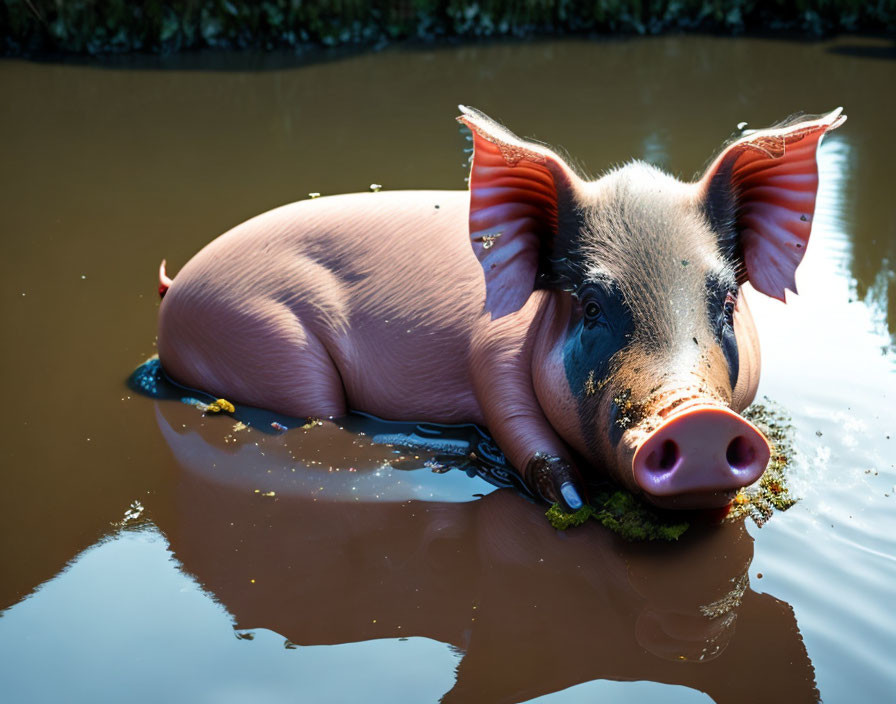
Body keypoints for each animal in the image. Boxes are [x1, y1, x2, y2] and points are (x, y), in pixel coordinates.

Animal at [156, 106, 848, 512]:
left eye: (727, 299)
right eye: (590, 305)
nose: (698, 417)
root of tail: (176, 282)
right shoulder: (489, 352)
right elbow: (522, 432)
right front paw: (571, 500)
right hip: (266, 342)